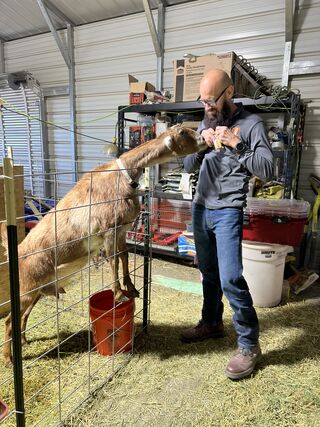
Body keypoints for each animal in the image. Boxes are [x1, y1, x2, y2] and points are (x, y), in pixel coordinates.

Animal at [0, 126, 205, 364]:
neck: (122, 175)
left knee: (22, 315)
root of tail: (17, 252)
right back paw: (9, 358)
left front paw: (131, 288)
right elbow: (113, 260)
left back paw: (23, 341)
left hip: (38, 290)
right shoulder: (108, 230)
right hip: (27, 288)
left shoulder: (122, 231)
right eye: (183, 132)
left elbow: (125, 256)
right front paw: (118, 294)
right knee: (9, 320)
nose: (204, 139)